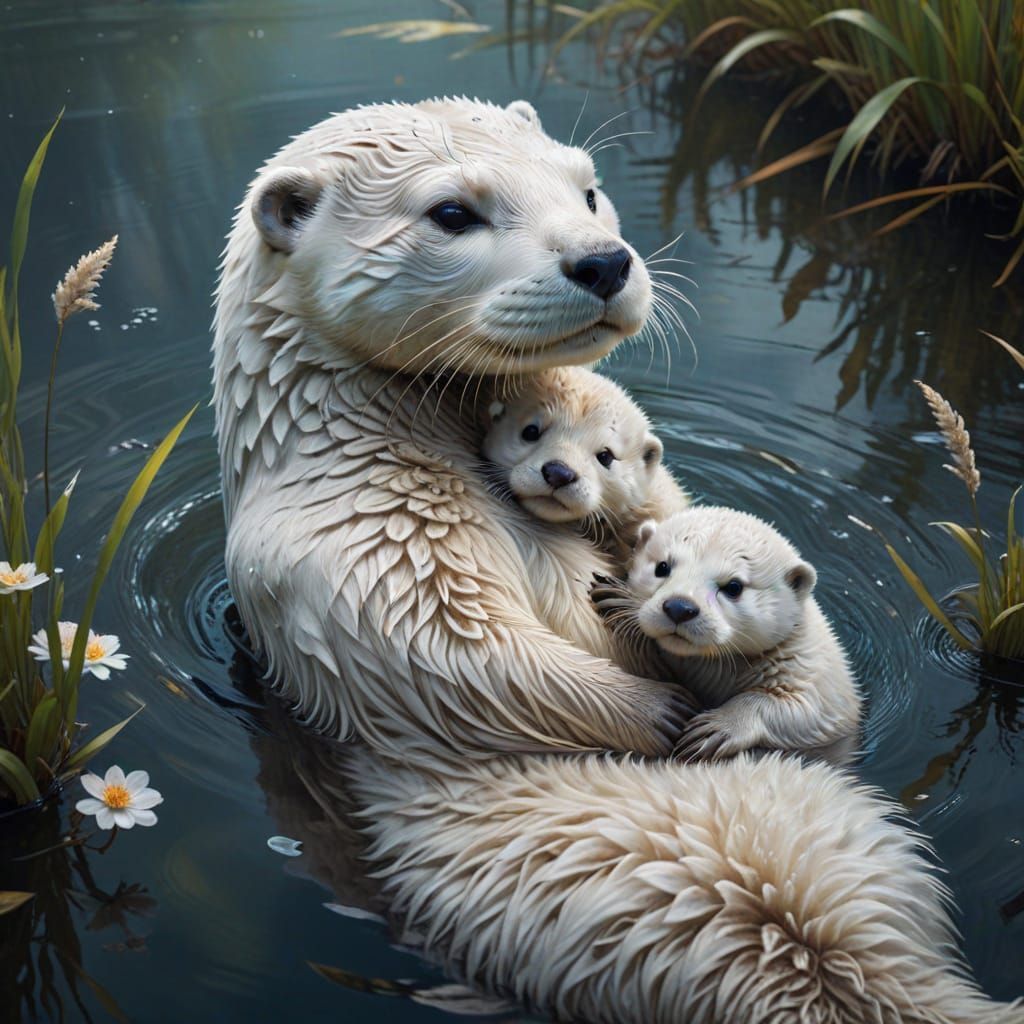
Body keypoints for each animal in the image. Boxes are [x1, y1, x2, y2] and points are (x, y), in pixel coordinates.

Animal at [593, 507, 862, 761]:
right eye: (662, 566)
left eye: (734, 586)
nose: (679, 608)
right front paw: (620, 600)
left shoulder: (813, 673)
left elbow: (807, 710)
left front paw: (717, 728)